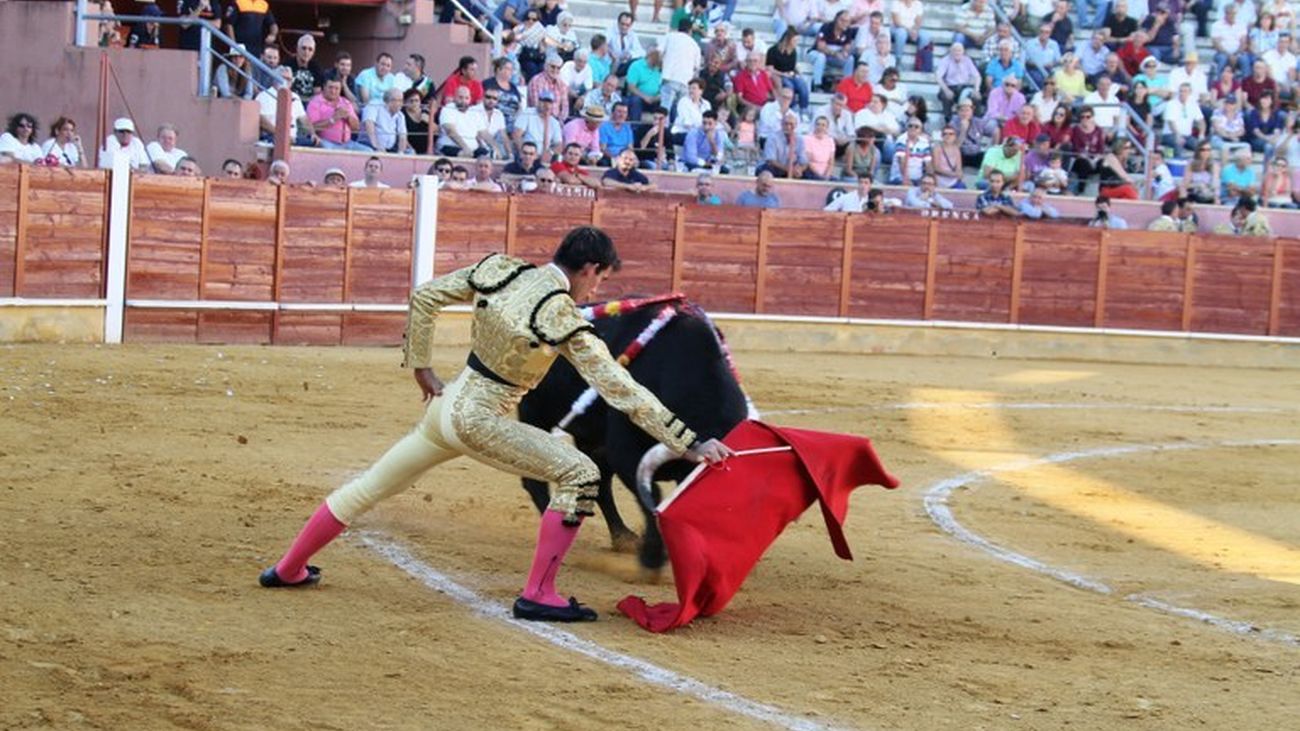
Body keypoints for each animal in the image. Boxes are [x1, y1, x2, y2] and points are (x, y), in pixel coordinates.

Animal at [514, 301, 748, 569]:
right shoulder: (624, 453)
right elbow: (652, 497)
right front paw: (652, 557)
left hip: (590, 438)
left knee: (600, 483)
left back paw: (623, 537)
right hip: (534, 412)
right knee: (535, 478)